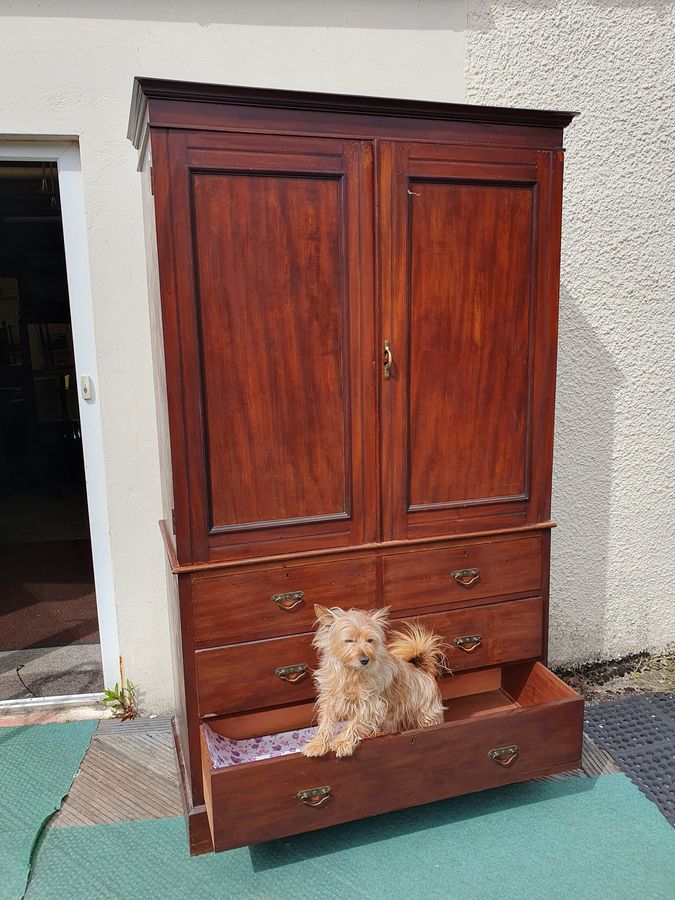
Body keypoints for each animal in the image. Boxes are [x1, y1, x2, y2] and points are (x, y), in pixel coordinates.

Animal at [304, 604, 446, 760]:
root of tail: (423, 670)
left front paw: (342, 742)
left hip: (426, 716)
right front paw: (317, 744)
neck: (351, 673)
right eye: (349, 640)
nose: (365, 660)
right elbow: (326, 723)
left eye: (370, 640)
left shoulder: (370, 705)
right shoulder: (329, 700)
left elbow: (353, 723)